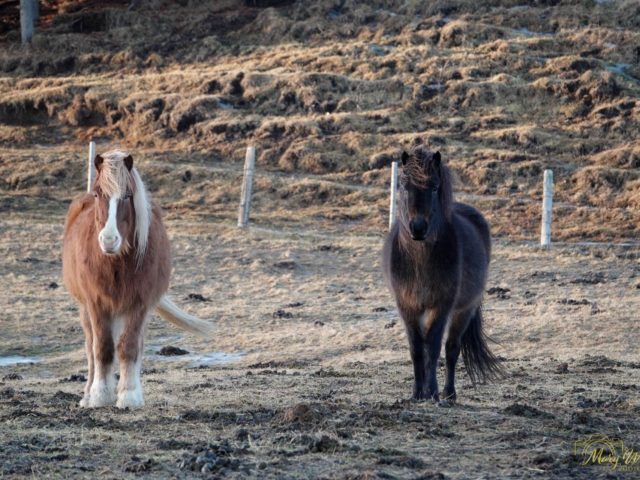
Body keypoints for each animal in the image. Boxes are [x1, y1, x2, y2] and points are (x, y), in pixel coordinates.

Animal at [62, 150, 215, 409]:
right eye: (97, 194)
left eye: (127, 195)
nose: (109, 240)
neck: (116, 262)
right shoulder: (96, 304)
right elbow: (101, 348)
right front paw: (100, 395)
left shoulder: (140, 305)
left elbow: (129, 347)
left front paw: (129, 396)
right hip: (86, 309)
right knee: (91, 347)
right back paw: (87, 395)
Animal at [382, 146, 503, 402]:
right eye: (404, 187)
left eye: (435, 188)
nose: (418, 227)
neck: (419, 261)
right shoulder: (407, 306)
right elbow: (417, 349)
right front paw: (418, 392)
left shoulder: (441, 305)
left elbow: (434, 347)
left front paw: (432, 392)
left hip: (464, 310)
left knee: (452, 348)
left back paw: (449, 394)